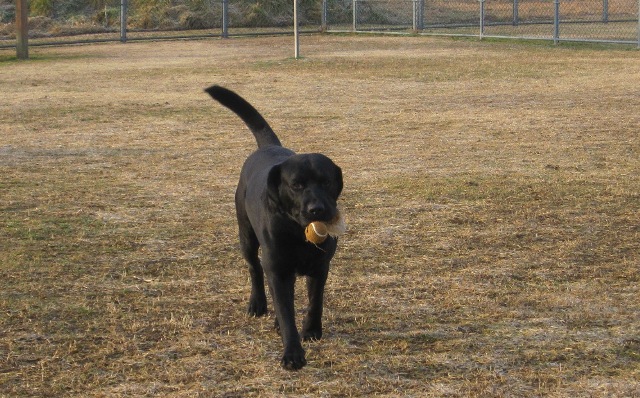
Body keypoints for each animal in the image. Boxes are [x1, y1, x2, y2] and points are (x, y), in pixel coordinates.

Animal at [208, 86, 342, 370]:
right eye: (297, 185)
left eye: (326, 182)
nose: (317, 209)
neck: (297, 233)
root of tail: (270, 146)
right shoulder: (278, 271)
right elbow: (285, 311)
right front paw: (293, 353)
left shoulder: (320, 267)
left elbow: (315, 301)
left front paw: (312, 330)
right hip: (246, 236)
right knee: (254, 268)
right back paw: (258, 303)